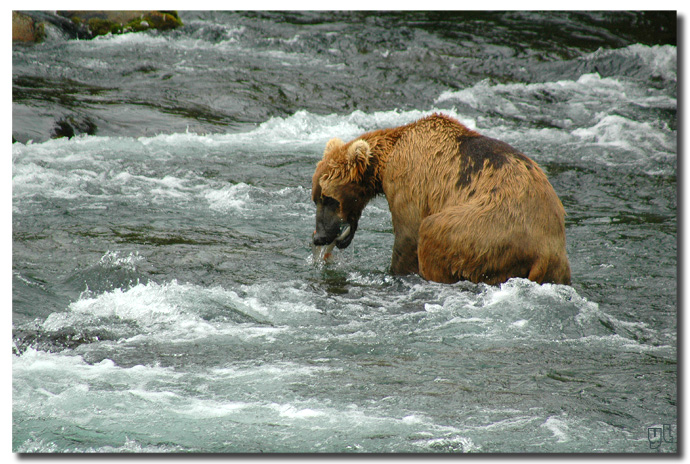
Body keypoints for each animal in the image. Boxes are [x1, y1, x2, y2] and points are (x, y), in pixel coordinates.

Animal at [312, 114, 568, 284]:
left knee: (433, 233)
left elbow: (407, 236)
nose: (319, 237)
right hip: (554, 259)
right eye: (316, 198)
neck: (385, 163)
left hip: (485, 229)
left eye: (329, 198)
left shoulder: (409, 181)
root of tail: (543, 252)